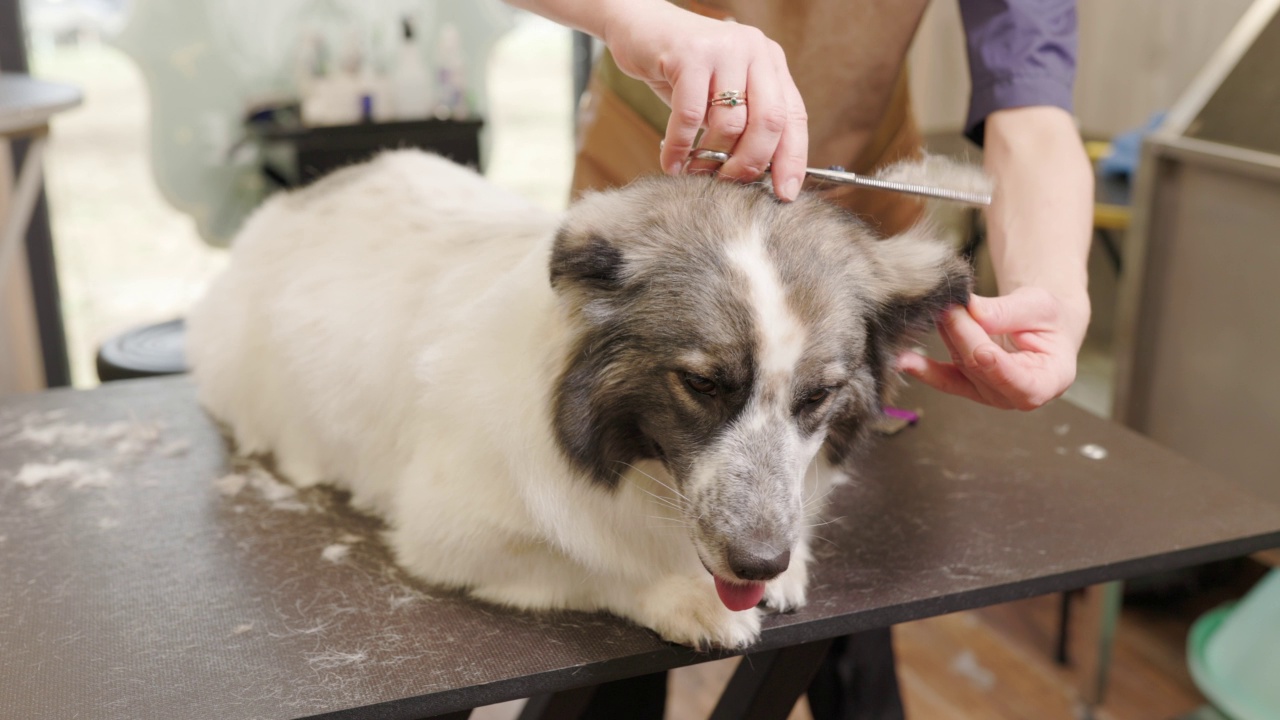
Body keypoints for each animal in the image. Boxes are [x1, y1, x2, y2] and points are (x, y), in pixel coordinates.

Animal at [186, 149, 967, 645]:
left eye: (820, 395)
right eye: (702, 384)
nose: (759, 563)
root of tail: (293, 200)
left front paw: (792, 564)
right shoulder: (447, 536)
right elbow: (595, 564)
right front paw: (686, 598)